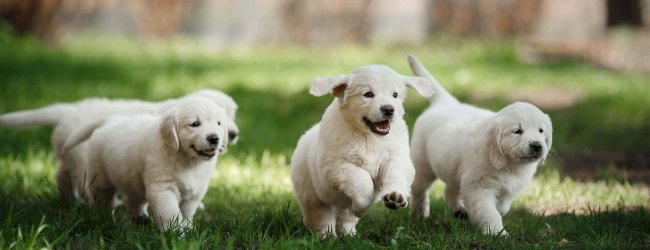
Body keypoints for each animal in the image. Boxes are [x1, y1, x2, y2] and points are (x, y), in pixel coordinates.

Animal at [0, 89, 238, 202]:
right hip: (83, 158)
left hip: (70, 154)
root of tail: (67, 110)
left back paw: (68, 199)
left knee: (61, 174)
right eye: (196, 123)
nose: (233, 134)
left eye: (231, 115)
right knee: (82, 182)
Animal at [60, 96, 228, 231]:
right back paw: (107, 219)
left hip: (132, 178)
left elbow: (187, 213)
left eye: (219, 123)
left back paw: (139, 218)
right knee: (104, 200)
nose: (214, 138)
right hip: (101, 178)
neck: (187, 160)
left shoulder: (194, 193)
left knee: (134, 199)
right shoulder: (163, 189)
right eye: (195, 124)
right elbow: (171, 213)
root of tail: (110, 120)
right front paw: (175, 234)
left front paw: (188, 229)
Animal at [292, 63, 432, 237]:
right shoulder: (335, 166)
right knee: (320, 218)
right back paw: (327, 236)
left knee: (346, 218)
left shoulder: (396, 159)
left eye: (395, 94)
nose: (388, 109)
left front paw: (395, 197)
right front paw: (362, 208)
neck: (369, 137)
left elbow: (395, 174)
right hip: (312, 195)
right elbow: (361, 179)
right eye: (368, 94)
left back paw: (349, 235)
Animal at [404, 55, 552, 235]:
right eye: (517, 131)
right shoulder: (479, 187)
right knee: (419, 189)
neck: (509, 164)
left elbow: (502, 207)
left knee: (450, 190)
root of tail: (446, 103)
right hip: (423, 164)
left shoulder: (507, 189)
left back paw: (458, 211)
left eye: (541, 131)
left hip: (452, 167)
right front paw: (496, 232)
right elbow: (489, 211)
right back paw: (418, 214)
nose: (537, 146)